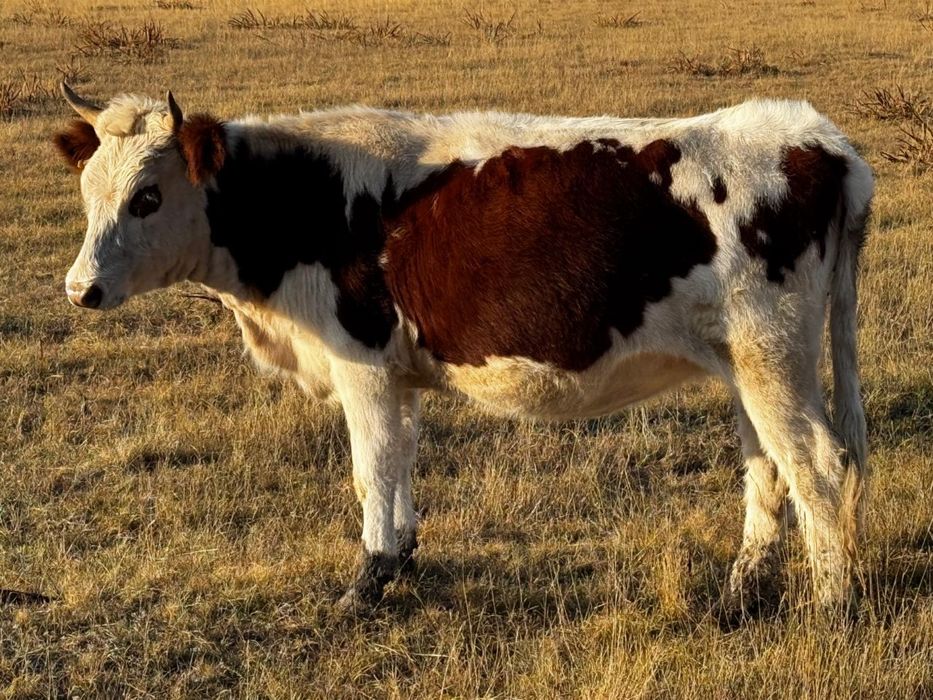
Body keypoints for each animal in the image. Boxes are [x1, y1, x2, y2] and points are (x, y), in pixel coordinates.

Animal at [53, 83, 873, 617]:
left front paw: (365, 585)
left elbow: (371, 471)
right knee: (767, 470)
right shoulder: (395, 373)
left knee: (817, 467)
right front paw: (402, 560)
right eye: (89, 190)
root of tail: (818, 139)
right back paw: (739, 593)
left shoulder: (361, 363)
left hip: (772, 358)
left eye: (147, 197)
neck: (305, 202)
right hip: (745, 364)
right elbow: (399, 465)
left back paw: (829, 608)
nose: (80, 289)